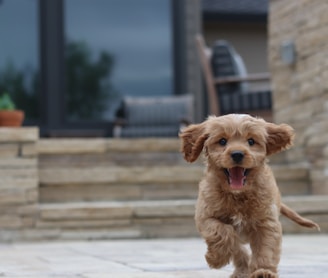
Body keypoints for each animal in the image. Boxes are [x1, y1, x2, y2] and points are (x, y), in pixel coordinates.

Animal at [178, 113, 320, 278]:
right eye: (222, 141)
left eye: (251, 141)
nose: (237, 154)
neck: (238, 194)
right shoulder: (205, 216)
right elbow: (221, 231)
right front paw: (216, 259)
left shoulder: (267, 222)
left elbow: (266, 248)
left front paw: (263, 271)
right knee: (237, 247)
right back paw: (241, 270)